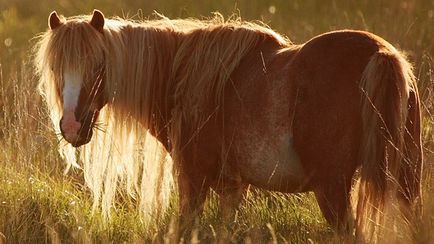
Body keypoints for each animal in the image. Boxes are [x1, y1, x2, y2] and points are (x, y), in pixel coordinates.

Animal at [35, 10, 422, 240]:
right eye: (55, 68)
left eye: (98, 65)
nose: (72, 126)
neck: (183, 77)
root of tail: (382, 55)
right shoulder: (232, 188)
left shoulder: (193, 181)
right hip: (404, 186)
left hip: (333, 189)